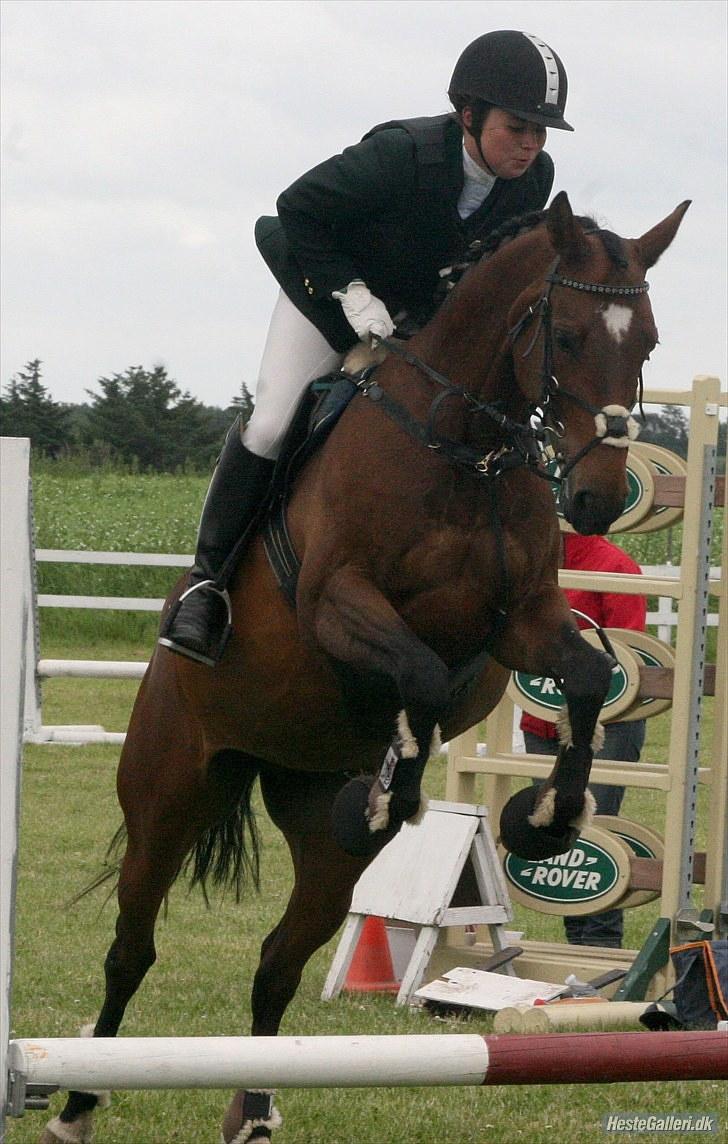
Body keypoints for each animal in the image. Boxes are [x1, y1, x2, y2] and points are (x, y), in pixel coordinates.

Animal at [39, 192, 686, 1139]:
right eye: (564, 336)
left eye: (646, 343)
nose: (597, 499)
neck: (463, 446)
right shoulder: (338, 601)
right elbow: (418, 676)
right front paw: (392, 789)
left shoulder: (524, 623)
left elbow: (589, 679)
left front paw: (544, 820)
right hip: (170, 788)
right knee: (132, 946)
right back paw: (77, 1102)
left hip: (312, 829)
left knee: (278, 959)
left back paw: (254, 1108)